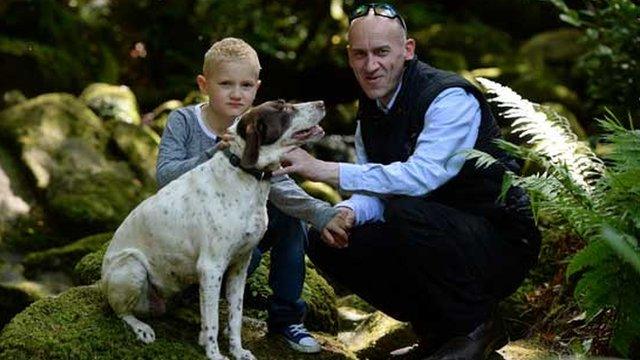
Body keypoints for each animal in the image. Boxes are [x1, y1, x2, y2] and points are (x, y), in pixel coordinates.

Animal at [102, 99, 328, 360]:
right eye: (283, 108)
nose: (321, 102)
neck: (247, 176)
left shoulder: (240, 266)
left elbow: (235, 316)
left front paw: (238, 351)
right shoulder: (211, 267)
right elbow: (213, 322)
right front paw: (214, 354)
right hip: (131, 266)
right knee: (120, 311)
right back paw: (142, 328)